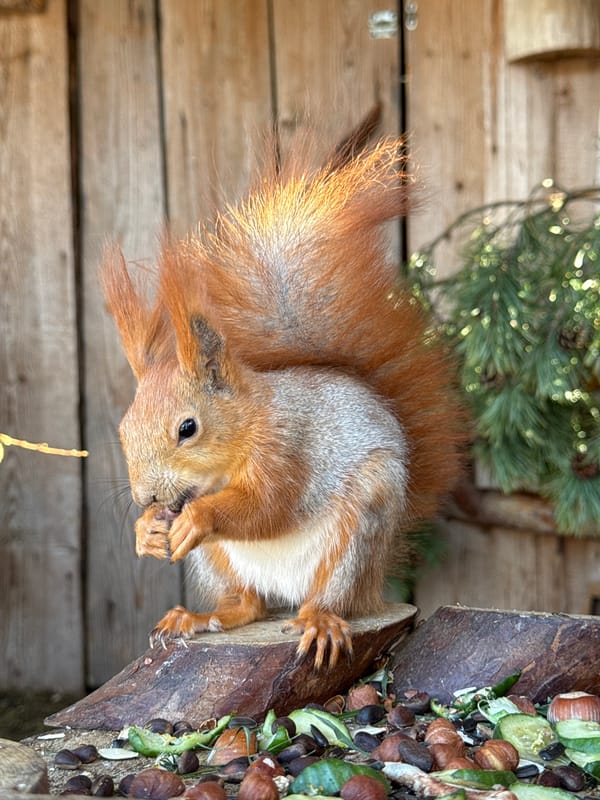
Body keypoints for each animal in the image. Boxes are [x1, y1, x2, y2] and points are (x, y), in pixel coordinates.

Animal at [102, 134, 465, 669]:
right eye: (123, 430)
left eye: (188, 428)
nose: (145, 497)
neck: (247, 422)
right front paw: (146, 530)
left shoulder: (286, 446)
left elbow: (266, 506)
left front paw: (199, 516)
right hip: (219, 562)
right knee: (249, 605)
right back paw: (198, 617)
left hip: (360, 528)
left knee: (332, 597)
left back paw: (319, 621)